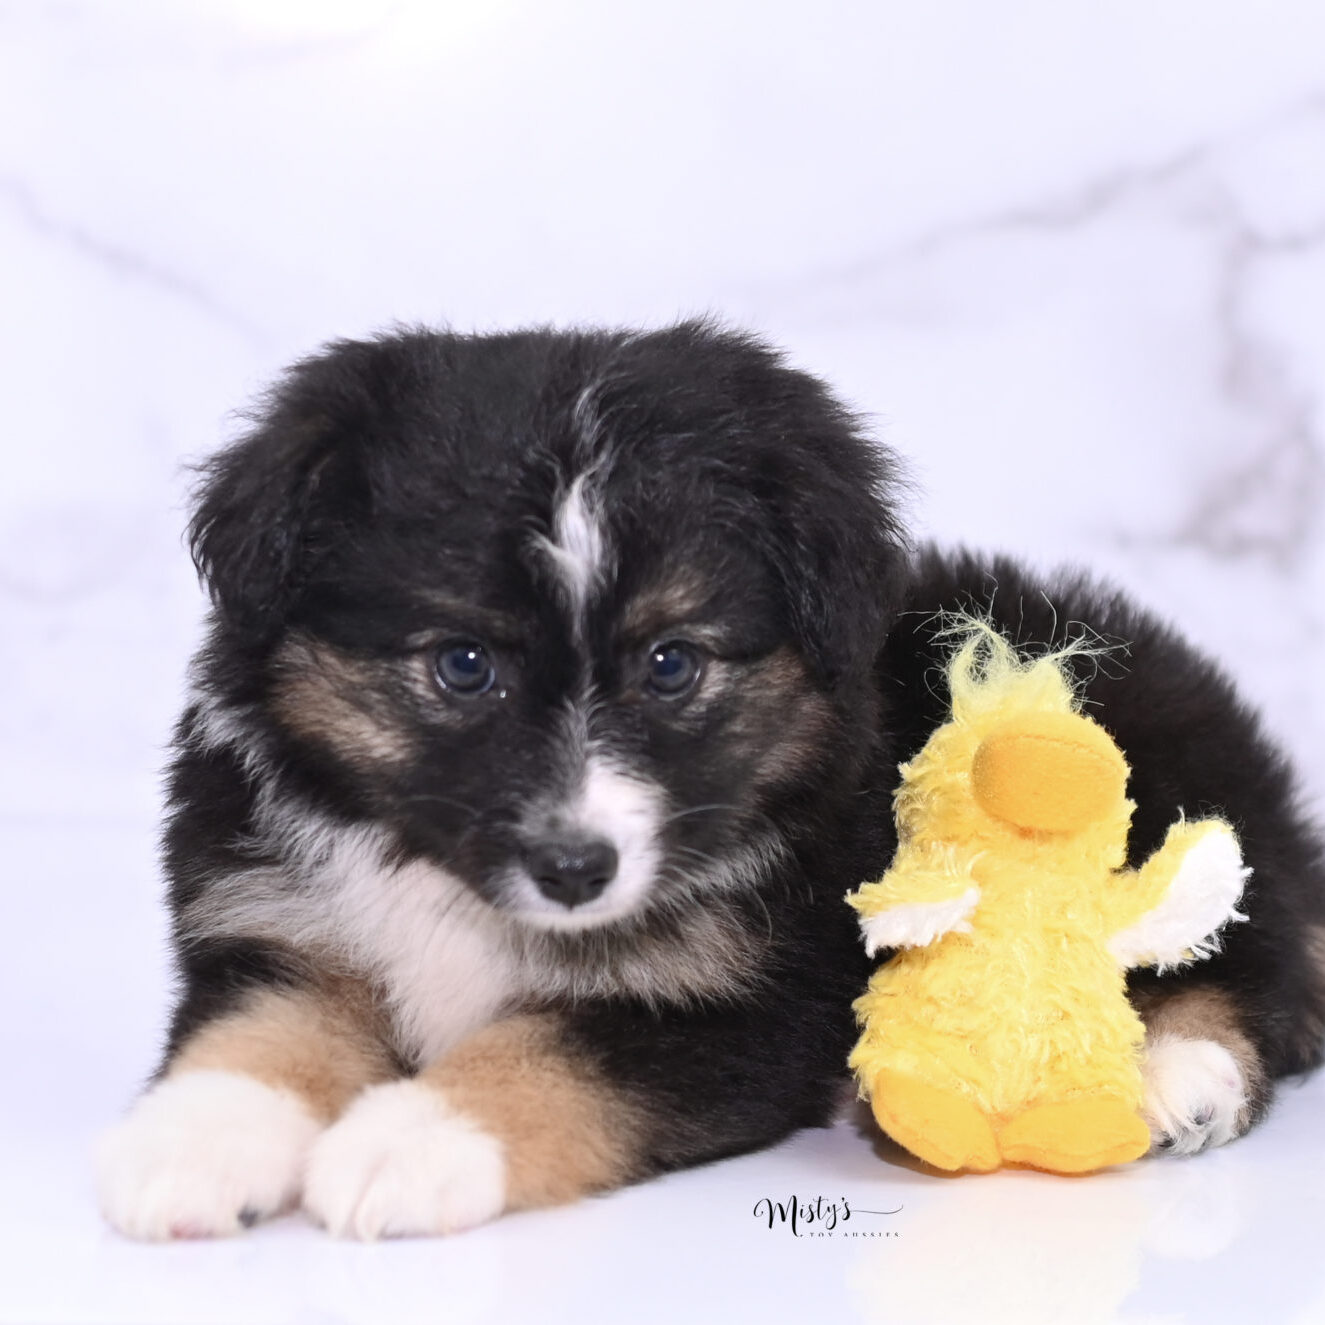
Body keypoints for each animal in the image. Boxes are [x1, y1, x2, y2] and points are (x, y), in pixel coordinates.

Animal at [96, 320, 1325, 1240]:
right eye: (463, 663)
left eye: (671, 662)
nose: (575, 868)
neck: (453, 887)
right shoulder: (274, 916)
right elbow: (264, 1026)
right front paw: (190, 1144)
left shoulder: (750, 997)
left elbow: (554, 1048)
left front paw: (411, 1141)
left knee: (1243, 949)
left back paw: (1170, 1072)